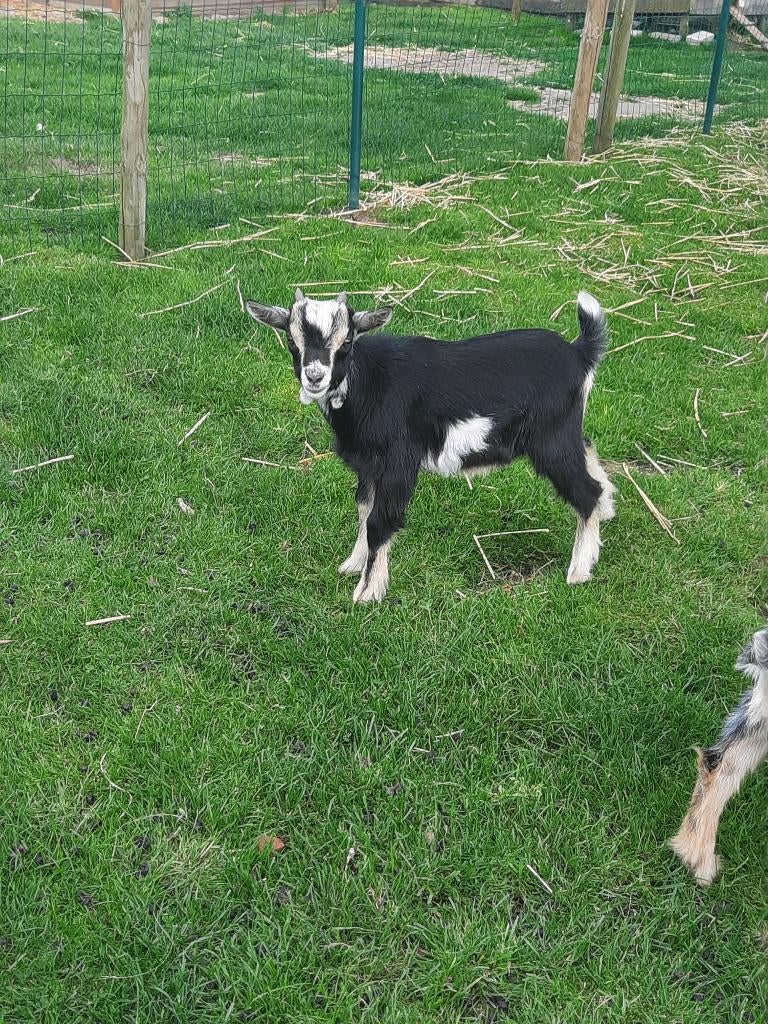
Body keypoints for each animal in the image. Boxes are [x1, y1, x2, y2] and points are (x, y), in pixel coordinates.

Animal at [245, 288, 616, 603]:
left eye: (347, 341)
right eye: (291, 340)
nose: (315, 376)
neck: (367, 384)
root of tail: (579, 352)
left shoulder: (398, 462)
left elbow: (379, 521)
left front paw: (367, 592)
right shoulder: (368, 465)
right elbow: (364, 510)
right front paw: (353, 564)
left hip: (551, 440)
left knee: (585, 491)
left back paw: (579, 570)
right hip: (566, 431)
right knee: (589, 453)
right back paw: (607, 512)